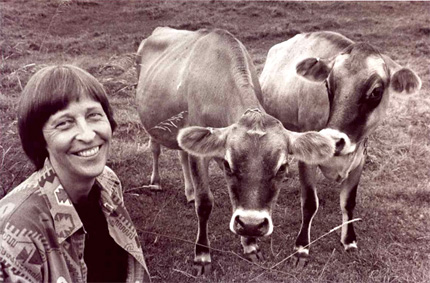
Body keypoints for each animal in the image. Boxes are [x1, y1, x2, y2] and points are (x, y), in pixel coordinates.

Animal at [135, 27, 336, 276]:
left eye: (282, 168)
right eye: (229, 165)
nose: (252, 224)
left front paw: (250, 244)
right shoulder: (202, 153)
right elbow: (205, 203)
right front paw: (202, 256)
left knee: (182, 154)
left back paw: (189, 192)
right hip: (151, 121)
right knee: (155, 148)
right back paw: (156, 182)